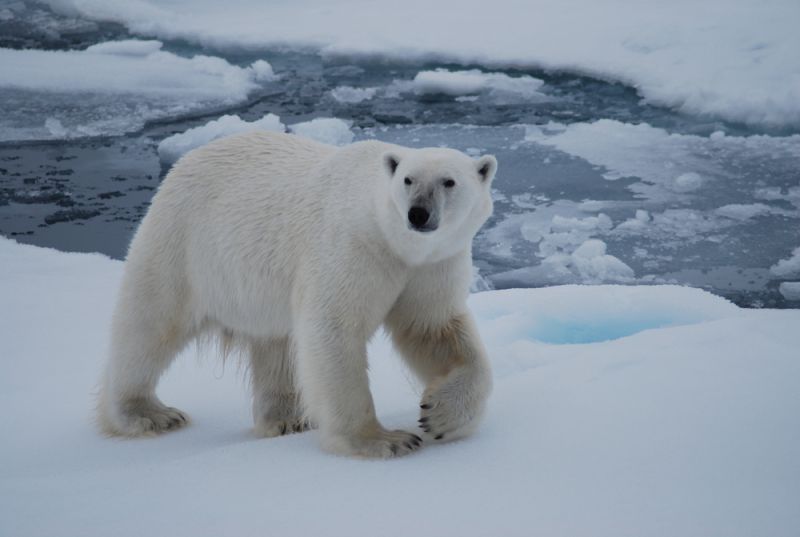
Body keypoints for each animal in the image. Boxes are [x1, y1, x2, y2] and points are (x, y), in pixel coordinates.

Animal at [99, 131, 496, 456]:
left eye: (449, 181)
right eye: (408, 179)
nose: (418, 213)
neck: (394, 240)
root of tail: (186, 160)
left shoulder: (432, 265)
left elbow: (433, 328)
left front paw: (441, 416)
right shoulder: (353, 247)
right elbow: (334, 328)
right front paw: (384, 440)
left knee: (275, 345)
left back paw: (286, 419)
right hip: (183, 243)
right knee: (150, 324)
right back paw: (148, 414)